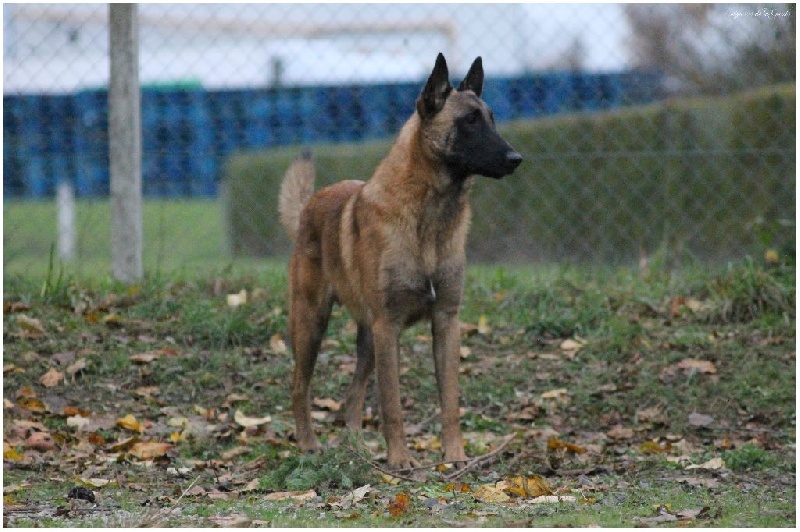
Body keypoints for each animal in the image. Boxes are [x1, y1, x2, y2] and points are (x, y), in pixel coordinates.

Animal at [279, 53, 522, 469]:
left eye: (491, 119)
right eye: (469, 121)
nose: (516, 158)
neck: (429, 216)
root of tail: (310, 205)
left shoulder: (445, 322)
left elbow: (450, 400)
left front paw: (455, 454)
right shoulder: (388, 326)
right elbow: (391, 403)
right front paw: (400, 458)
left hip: (368, 339)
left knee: (353, 395)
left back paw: (357, 449)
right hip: (313, 324)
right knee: (299, 387)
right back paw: (309, 445)